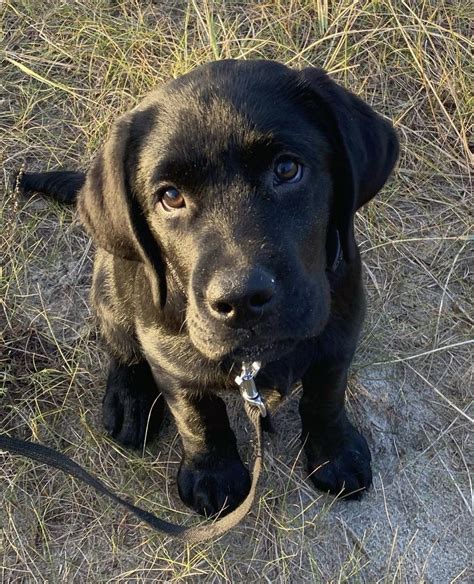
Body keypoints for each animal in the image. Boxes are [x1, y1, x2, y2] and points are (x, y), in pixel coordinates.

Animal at [18, 59, 398, 516]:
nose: (241, 300)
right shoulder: (170, 359)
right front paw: (212, 475)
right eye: (170, 196)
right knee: (122, 350)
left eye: (287, 169)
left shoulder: (339, 334)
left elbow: (325, 395)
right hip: (110, 289)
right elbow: (198, 415)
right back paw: (129, 401)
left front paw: (335, 454)